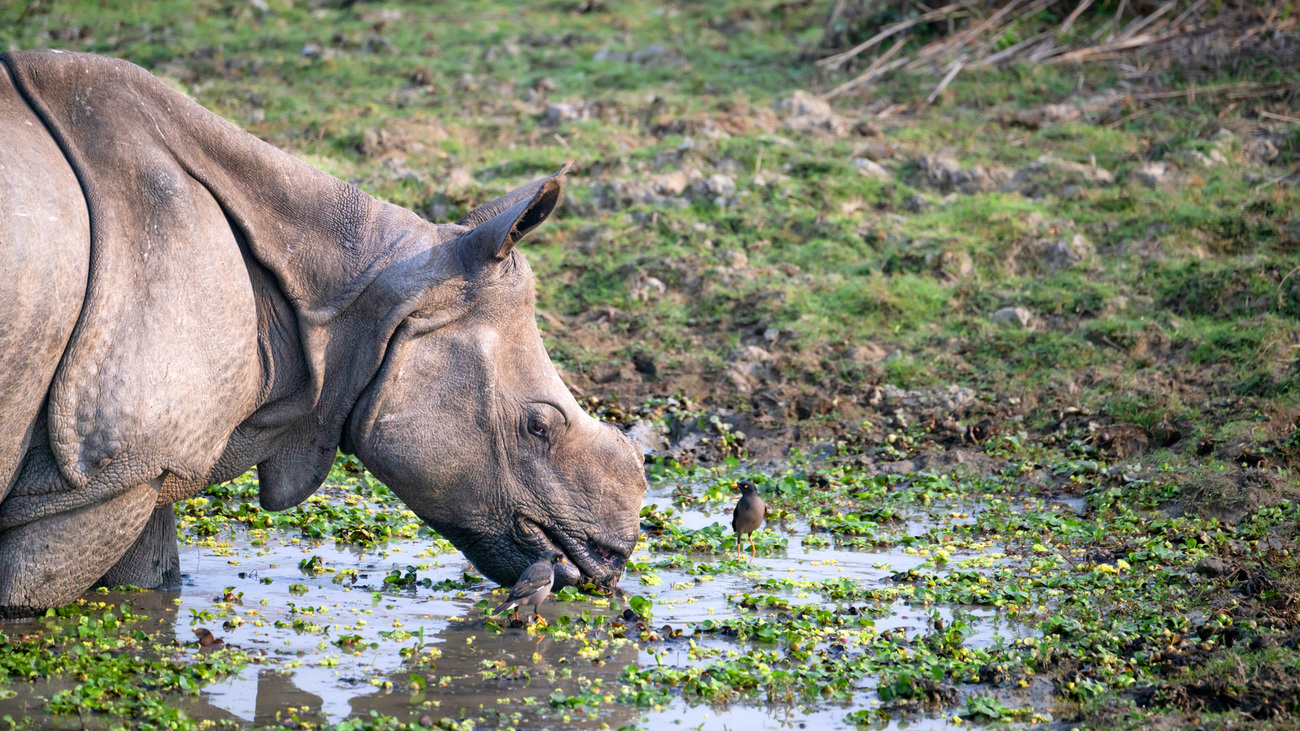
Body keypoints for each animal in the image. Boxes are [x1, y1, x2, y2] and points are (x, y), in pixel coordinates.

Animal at [0, 48, 647, 613]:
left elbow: (151, 582)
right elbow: (27, 597)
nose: (613, 558)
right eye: (536, 427)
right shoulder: (95, 473)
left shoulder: (142, 463)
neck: (363, 298)